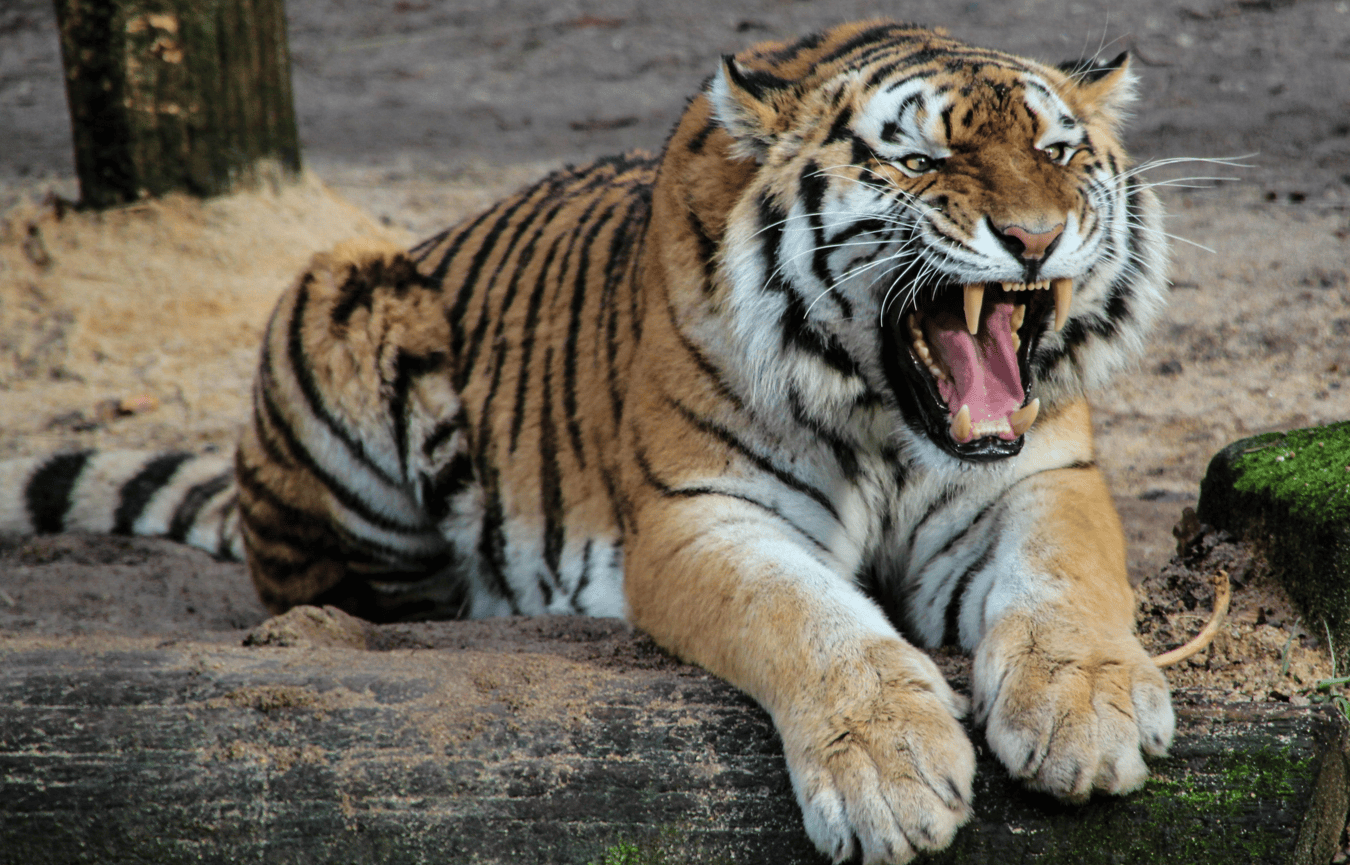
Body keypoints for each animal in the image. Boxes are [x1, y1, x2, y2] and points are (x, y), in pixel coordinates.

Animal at [5, 21, 1177, 863]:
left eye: (1058, 150)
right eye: (924, 158)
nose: (1034, 237)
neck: (889, 418)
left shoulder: (1040, 475)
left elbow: (1066, 578)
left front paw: (1087, 712)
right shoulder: (701, 516)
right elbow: (810, 621)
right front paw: (888, 773)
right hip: (338, 289)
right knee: (345, 593)